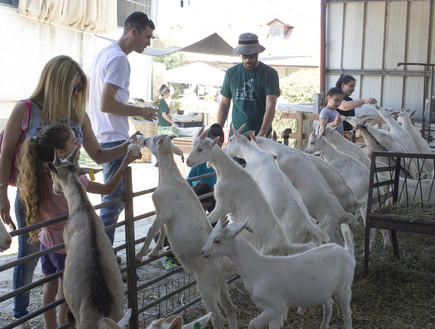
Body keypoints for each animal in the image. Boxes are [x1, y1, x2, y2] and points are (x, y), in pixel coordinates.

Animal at [136, 134, 238, 328]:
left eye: (153, 139)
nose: (142, 138)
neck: (171, 177)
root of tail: (226, 264)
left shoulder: (163, 210)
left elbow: (152, 229)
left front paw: (141, 254)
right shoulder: (165, 215)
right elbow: (162, 231)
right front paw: (155, 251)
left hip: (206, 285)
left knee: (217, 316)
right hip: (220, 283)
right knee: (230, 308)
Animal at [184, 125, 296, 254]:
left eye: (200, 149)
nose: (187, 161)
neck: (227, 173)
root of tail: (285, 246)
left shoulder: (223, 204)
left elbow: (209, 219)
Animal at [203, 215, 356, 328]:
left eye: (217, 240)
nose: (203, 252)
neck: (256, 269)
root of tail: (347, 251)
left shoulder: (276, 306)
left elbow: (252, 324)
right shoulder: (272, 310)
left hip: (344, 288)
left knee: (348, 314)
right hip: (324, 290)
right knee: (329, 305)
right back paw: (323, 326)